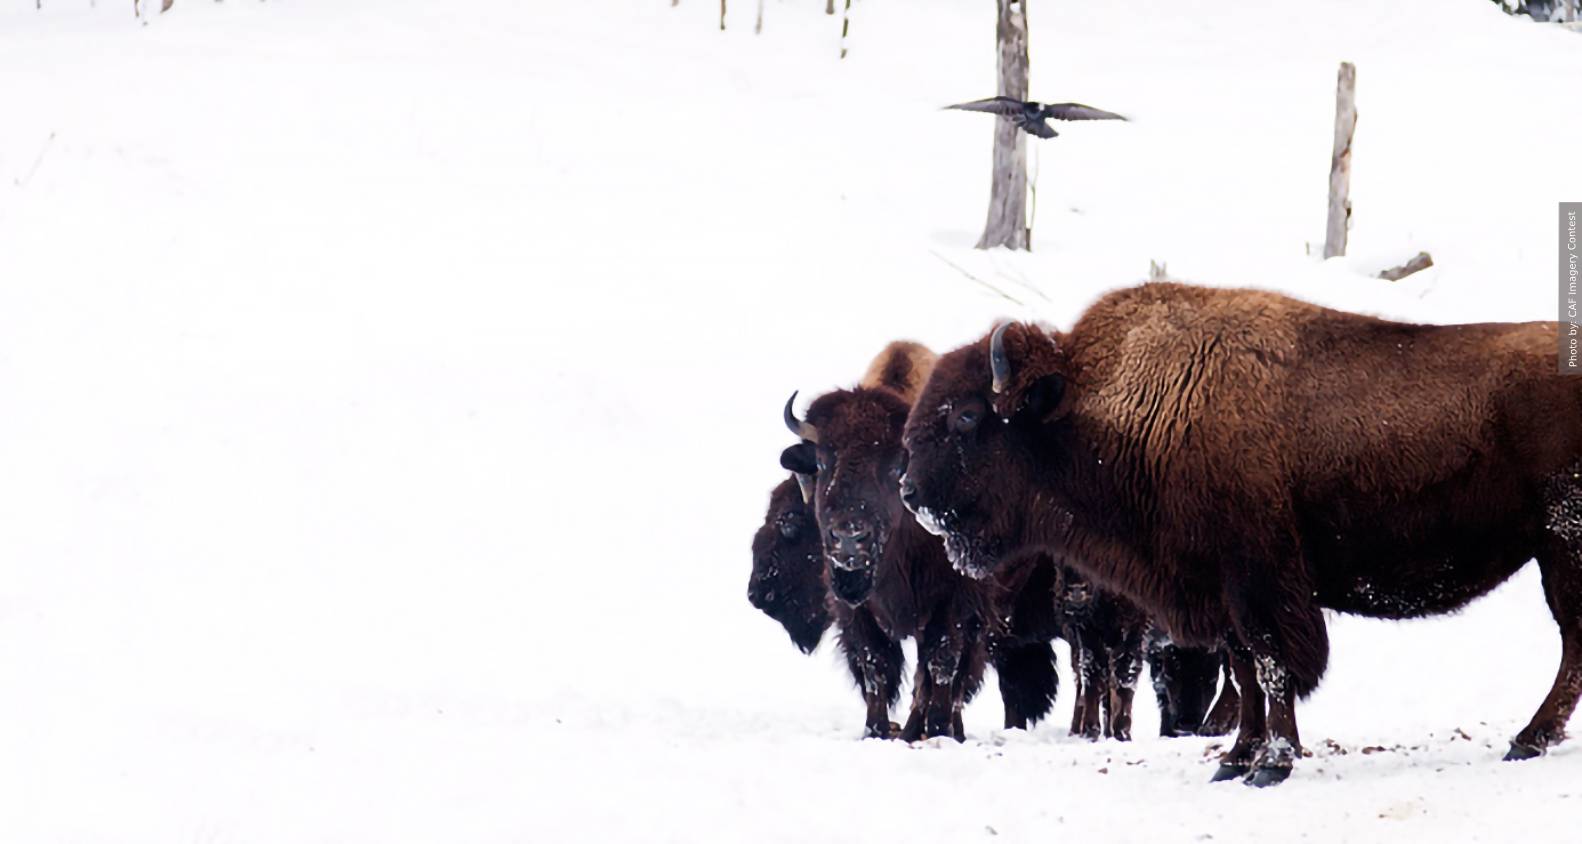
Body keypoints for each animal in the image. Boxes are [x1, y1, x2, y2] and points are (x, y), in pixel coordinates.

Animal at [900, 281, 1582, 785]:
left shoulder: (1260, 581)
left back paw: (1528, 740)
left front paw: (1272, 764)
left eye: (967, 417)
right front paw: (1235, 759)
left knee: (1572, 642)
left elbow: (1273, 664)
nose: (908, 492)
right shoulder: (1218, 588)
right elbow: (1246, 667)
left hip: (1561, 550)